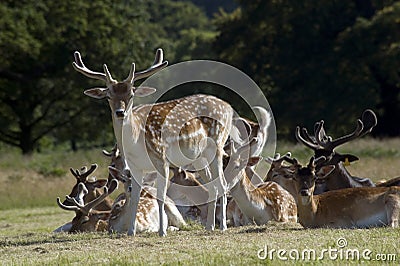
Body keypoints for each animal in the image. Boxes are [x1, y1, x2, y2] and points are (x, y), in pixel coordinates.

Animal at [73, 48, 233, 236]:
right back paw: (210, 226)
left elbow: (161, 197)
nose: (120, 112)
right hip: (199, 157)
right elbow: (135, 198)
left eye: (131, 94)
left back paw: (222, 226)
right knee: (212, 185)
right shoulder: (134, 166)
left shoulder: (160, 157)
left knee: (222, 184)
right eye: (108, 95)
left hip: (217, 145)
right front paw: (131, 231)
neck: (136, 141)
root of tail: (229, 107)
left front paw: (162, 231)